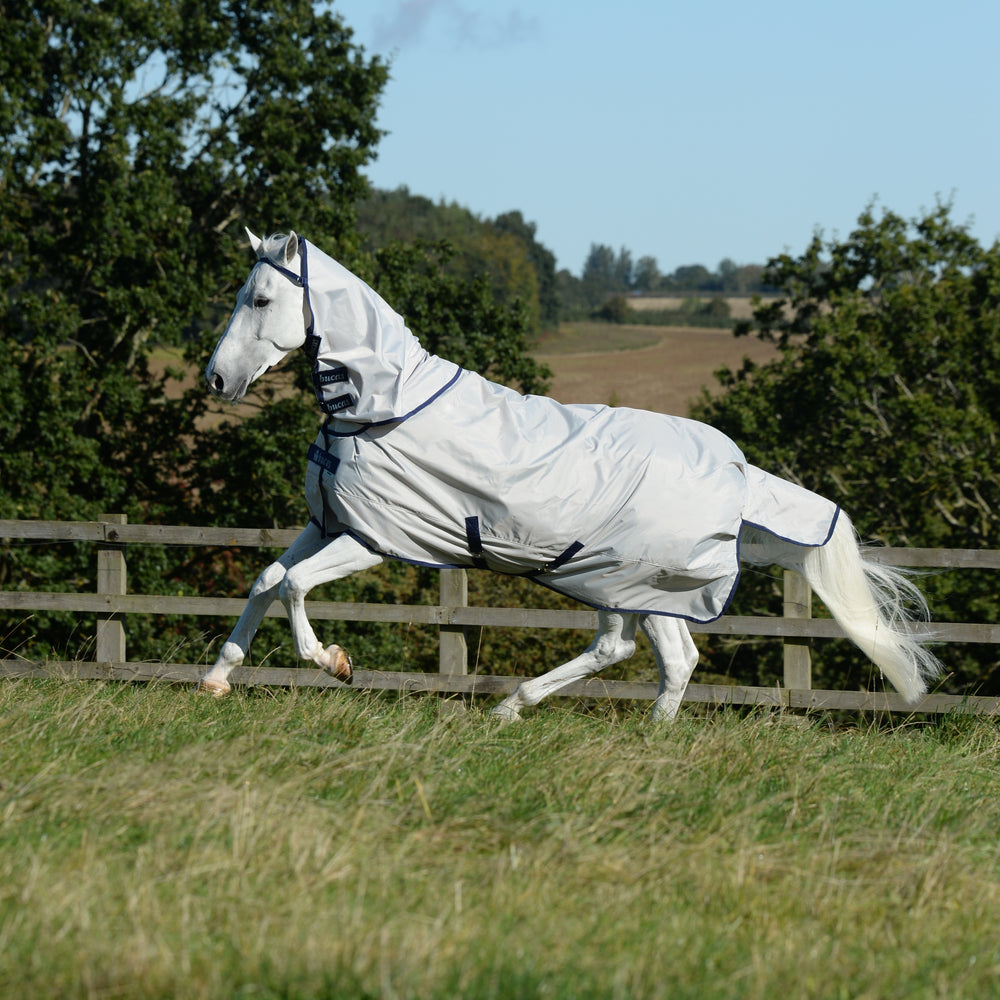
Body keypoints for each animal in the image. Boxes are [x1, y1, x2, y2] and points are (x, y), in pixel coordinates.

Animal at [199, 230, 940, 720]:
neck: (380, 409)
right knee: (666, 659)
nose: (216, 379)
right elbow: (266, 579)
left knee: (630, 652)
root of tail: (736, 470)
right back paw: (611, 730)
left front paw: (335, 662)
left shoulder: (373, 539)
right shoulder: (327, 523)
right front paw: (216, 679)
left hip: (629, 579)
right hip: (643, 588)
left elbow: (294, 586)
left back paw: (522, 710)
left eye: (261, 299)